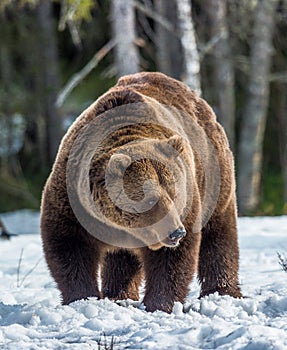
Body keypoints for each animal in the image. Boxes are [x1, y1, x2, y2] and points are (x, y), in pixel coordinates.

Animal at [41, 70, 243, 312]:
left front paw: (159, 304)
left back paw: (223, 292)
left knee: (219, 235)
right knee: (122, 258)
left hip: (213, 177)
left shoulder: (187, 202)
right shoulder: (72, 200)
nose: (176, 232)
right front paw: (82, 299)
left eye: (174, 194)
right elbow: (69, 246)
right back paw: (119, 295)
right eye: (149, 200)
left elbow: (172, 260)